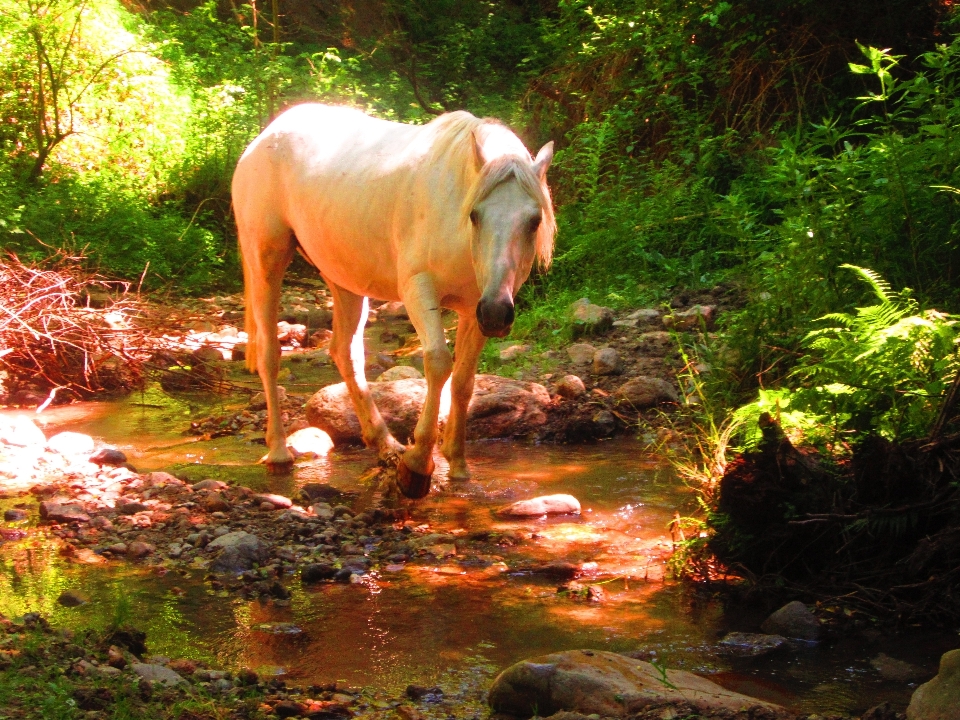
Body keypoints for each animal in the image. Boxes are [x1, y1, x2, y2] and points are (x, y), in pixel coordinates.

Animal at [232, 107, 556, 498]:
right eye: (475, 215)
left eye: (534, 220)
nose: (496, 314)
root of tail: (266, 136)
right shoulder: (419, 290)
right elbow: (438, 363)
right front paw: (417, 466)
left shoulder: (476, 307)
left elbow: (464, 381)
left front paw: (458, 466)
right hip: (267, 258)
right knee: (270, 353)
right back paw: (280, 453)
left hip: (344, 277)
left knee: (346, 354)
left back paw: (385, 445)